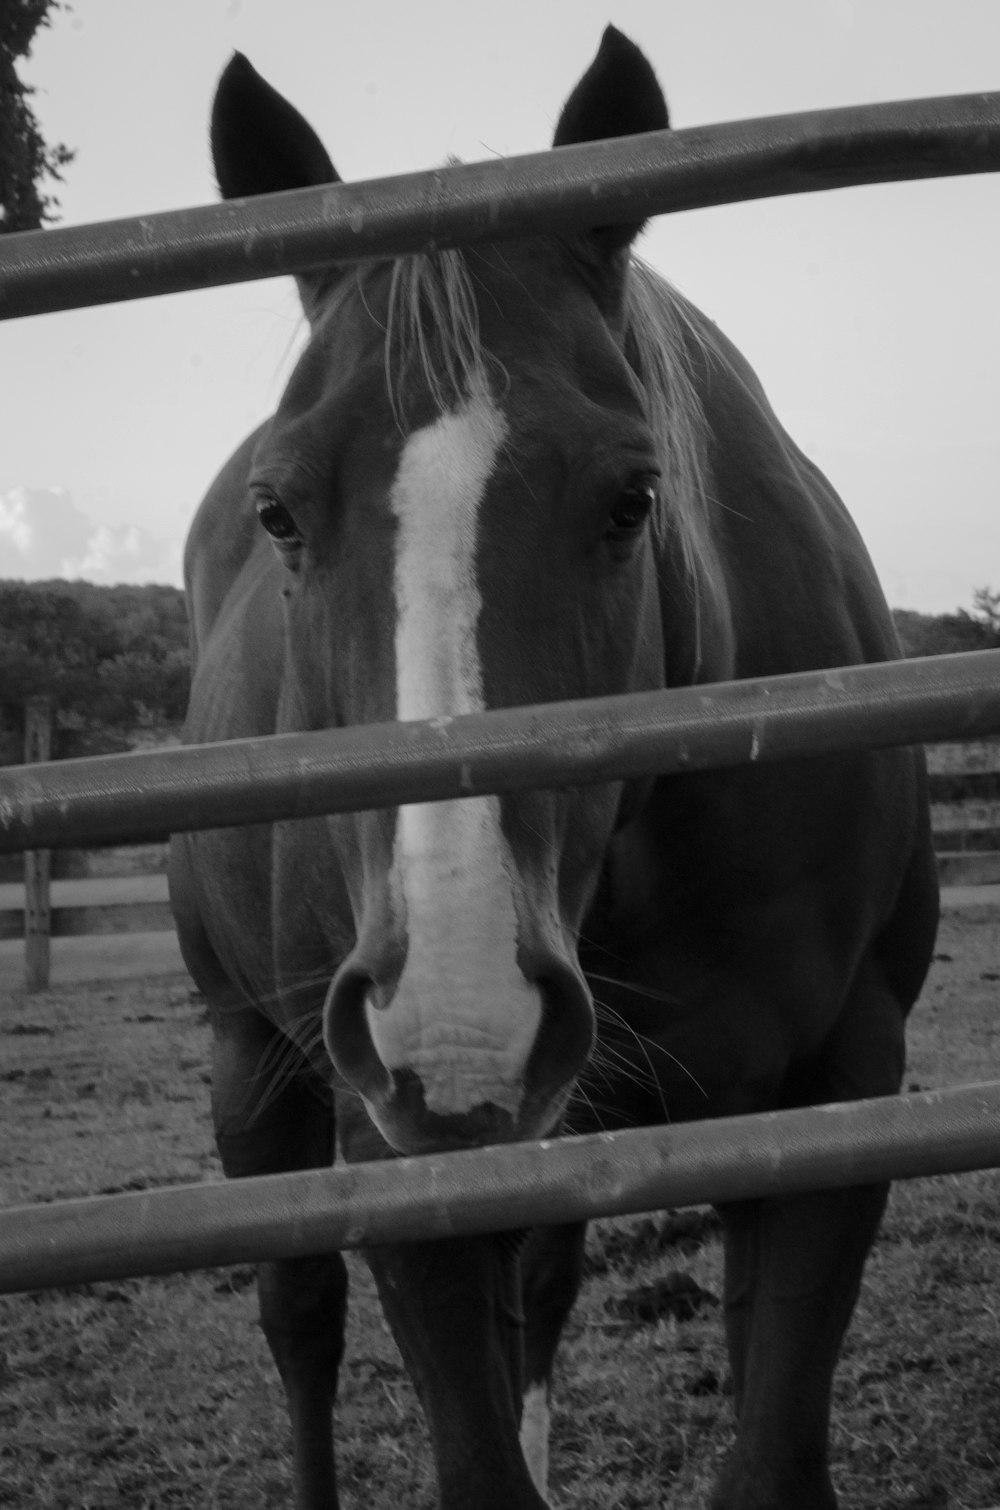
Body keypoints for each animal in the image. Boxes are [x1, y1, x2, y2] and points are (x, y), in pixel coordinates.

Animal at [168, 26, 942, 1510]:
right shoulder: (387, 1142)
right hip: (256, 1059)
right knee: (301, 1319)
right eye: (279, 510)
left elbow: (766, 1442)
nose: (456, 1024)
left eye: (633, 496)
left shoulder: (831, 1097)